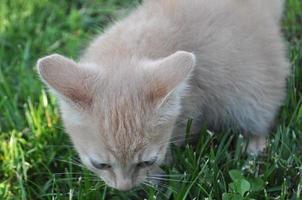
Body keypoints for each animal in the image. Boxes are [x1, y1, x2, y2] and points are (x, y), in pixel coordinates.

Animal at [36, 0, 290, 191]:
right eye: (100, 164)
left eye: (146, 161)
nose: (124, 188)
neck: (128, 51)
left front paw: (154, 179)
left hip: (251, 89)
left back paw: (254, 147)